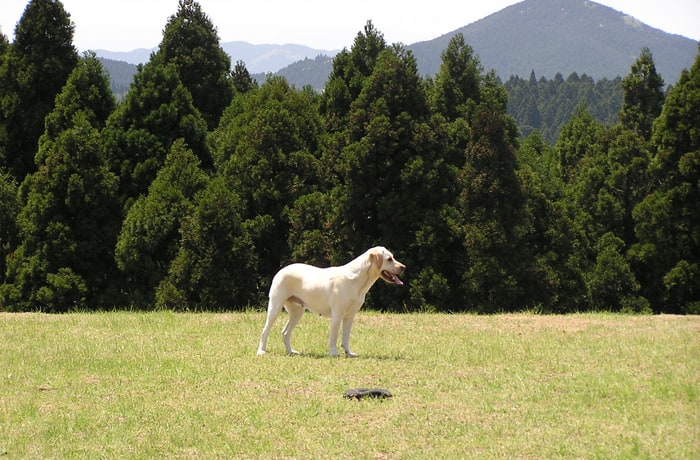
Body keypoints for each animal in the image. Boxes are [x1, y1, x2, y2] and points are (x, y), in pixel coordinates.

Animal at [256, 246, 404, 358]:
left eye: (393, 257)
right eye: (389, 259)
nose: (404, 267)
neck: (358, 280)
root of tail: (281, 270)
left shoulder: (350, 316)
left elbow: (346, 337)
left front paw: (349, 353)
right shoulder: (337, 314)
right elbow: (334, 336)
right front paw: (333, 353)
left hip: (297, 312)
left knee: (285, 332)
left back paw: (291, 352)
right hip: (275, 307)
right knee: (264, 331)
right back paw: (261, 351)